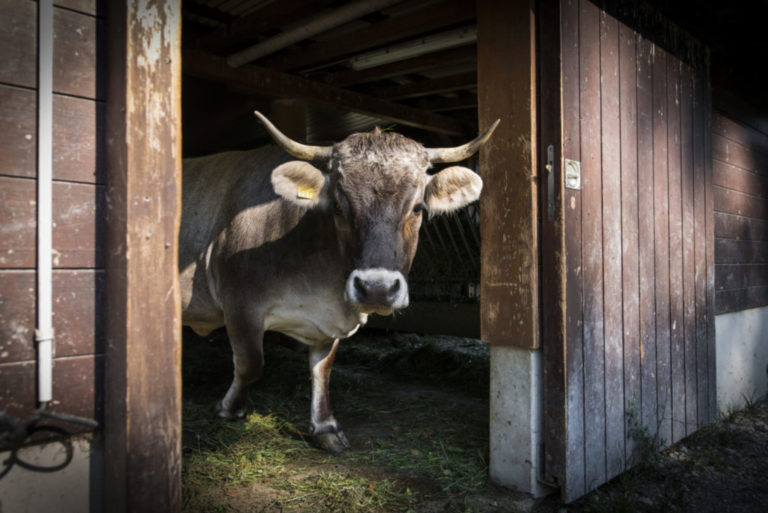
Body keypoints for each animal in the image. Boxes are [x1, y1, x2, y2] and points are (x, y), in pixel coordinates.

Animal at [179, 111, 498, 452]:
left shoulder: (328, 323)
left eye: (418, 208)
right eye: (337, 206)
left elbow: (323, 369)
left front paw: (325, 427)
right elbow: (251, 364)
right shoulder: (240, 304)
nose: (377, 289)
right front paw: (229, 408)